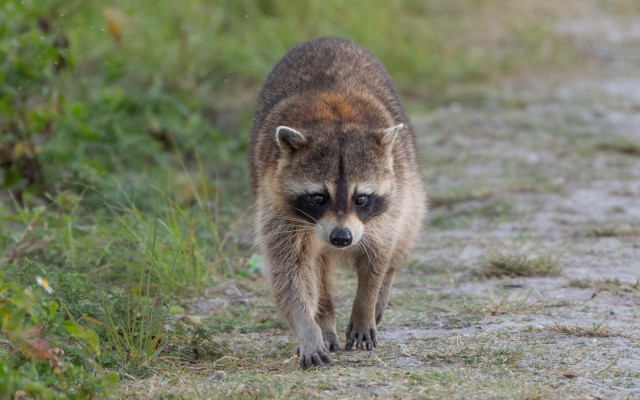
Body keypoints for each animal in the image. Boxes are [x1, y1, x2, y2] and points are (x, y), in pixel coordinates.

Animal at [248, 37, 427, 369]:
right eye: (319, 198)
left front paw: (365, 303)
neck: (335, 120)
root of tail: (326, 39)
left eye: (361, 198)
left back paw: (383, 288)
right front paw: (308, 328)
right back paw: (324, 319)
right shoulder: (277, 208)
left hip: (409, 179)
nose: (341, 238)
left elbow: (378, 256)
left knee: (405, 234)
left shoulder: (387, 209)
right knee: (316, 271)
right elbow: (290, 272)